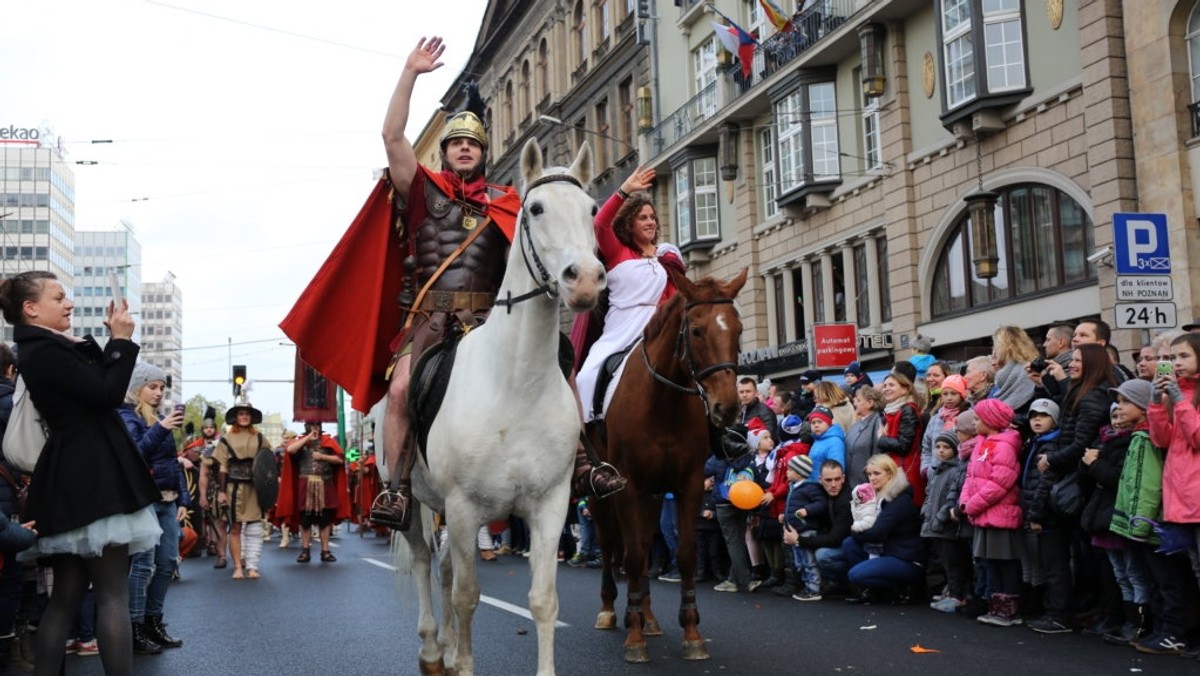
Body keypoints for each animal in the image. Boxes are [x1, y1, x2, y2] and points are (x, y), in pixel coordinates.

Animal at [393, 138, 604, 676]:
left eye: (592, 210)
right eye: (536, 208)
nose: (585, 281)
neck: (516, 386)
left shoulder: (549, 505)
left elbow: (543, 601)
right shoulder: (464, 507)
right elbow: (468, 597)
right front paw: (458, 659)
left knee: (445, 566)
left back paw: (446, 650)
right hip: (416, 502)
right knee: (425, 563)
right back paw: (433, 649)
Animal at [585, 264, 744, 662]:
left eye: (738, 329)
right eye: (697, 330)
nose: (727, 408)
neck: (664, 401)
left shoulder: (688, 484)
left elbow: (684, 555)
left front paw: (691, 632)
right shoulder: (627, 485)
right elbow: (632, 557)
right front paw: (634, 638)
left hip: (654, 495)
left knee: (641, 544)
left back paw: (649, 617)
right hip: (601, 492)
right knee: (611, 546)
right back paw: (611, 610)